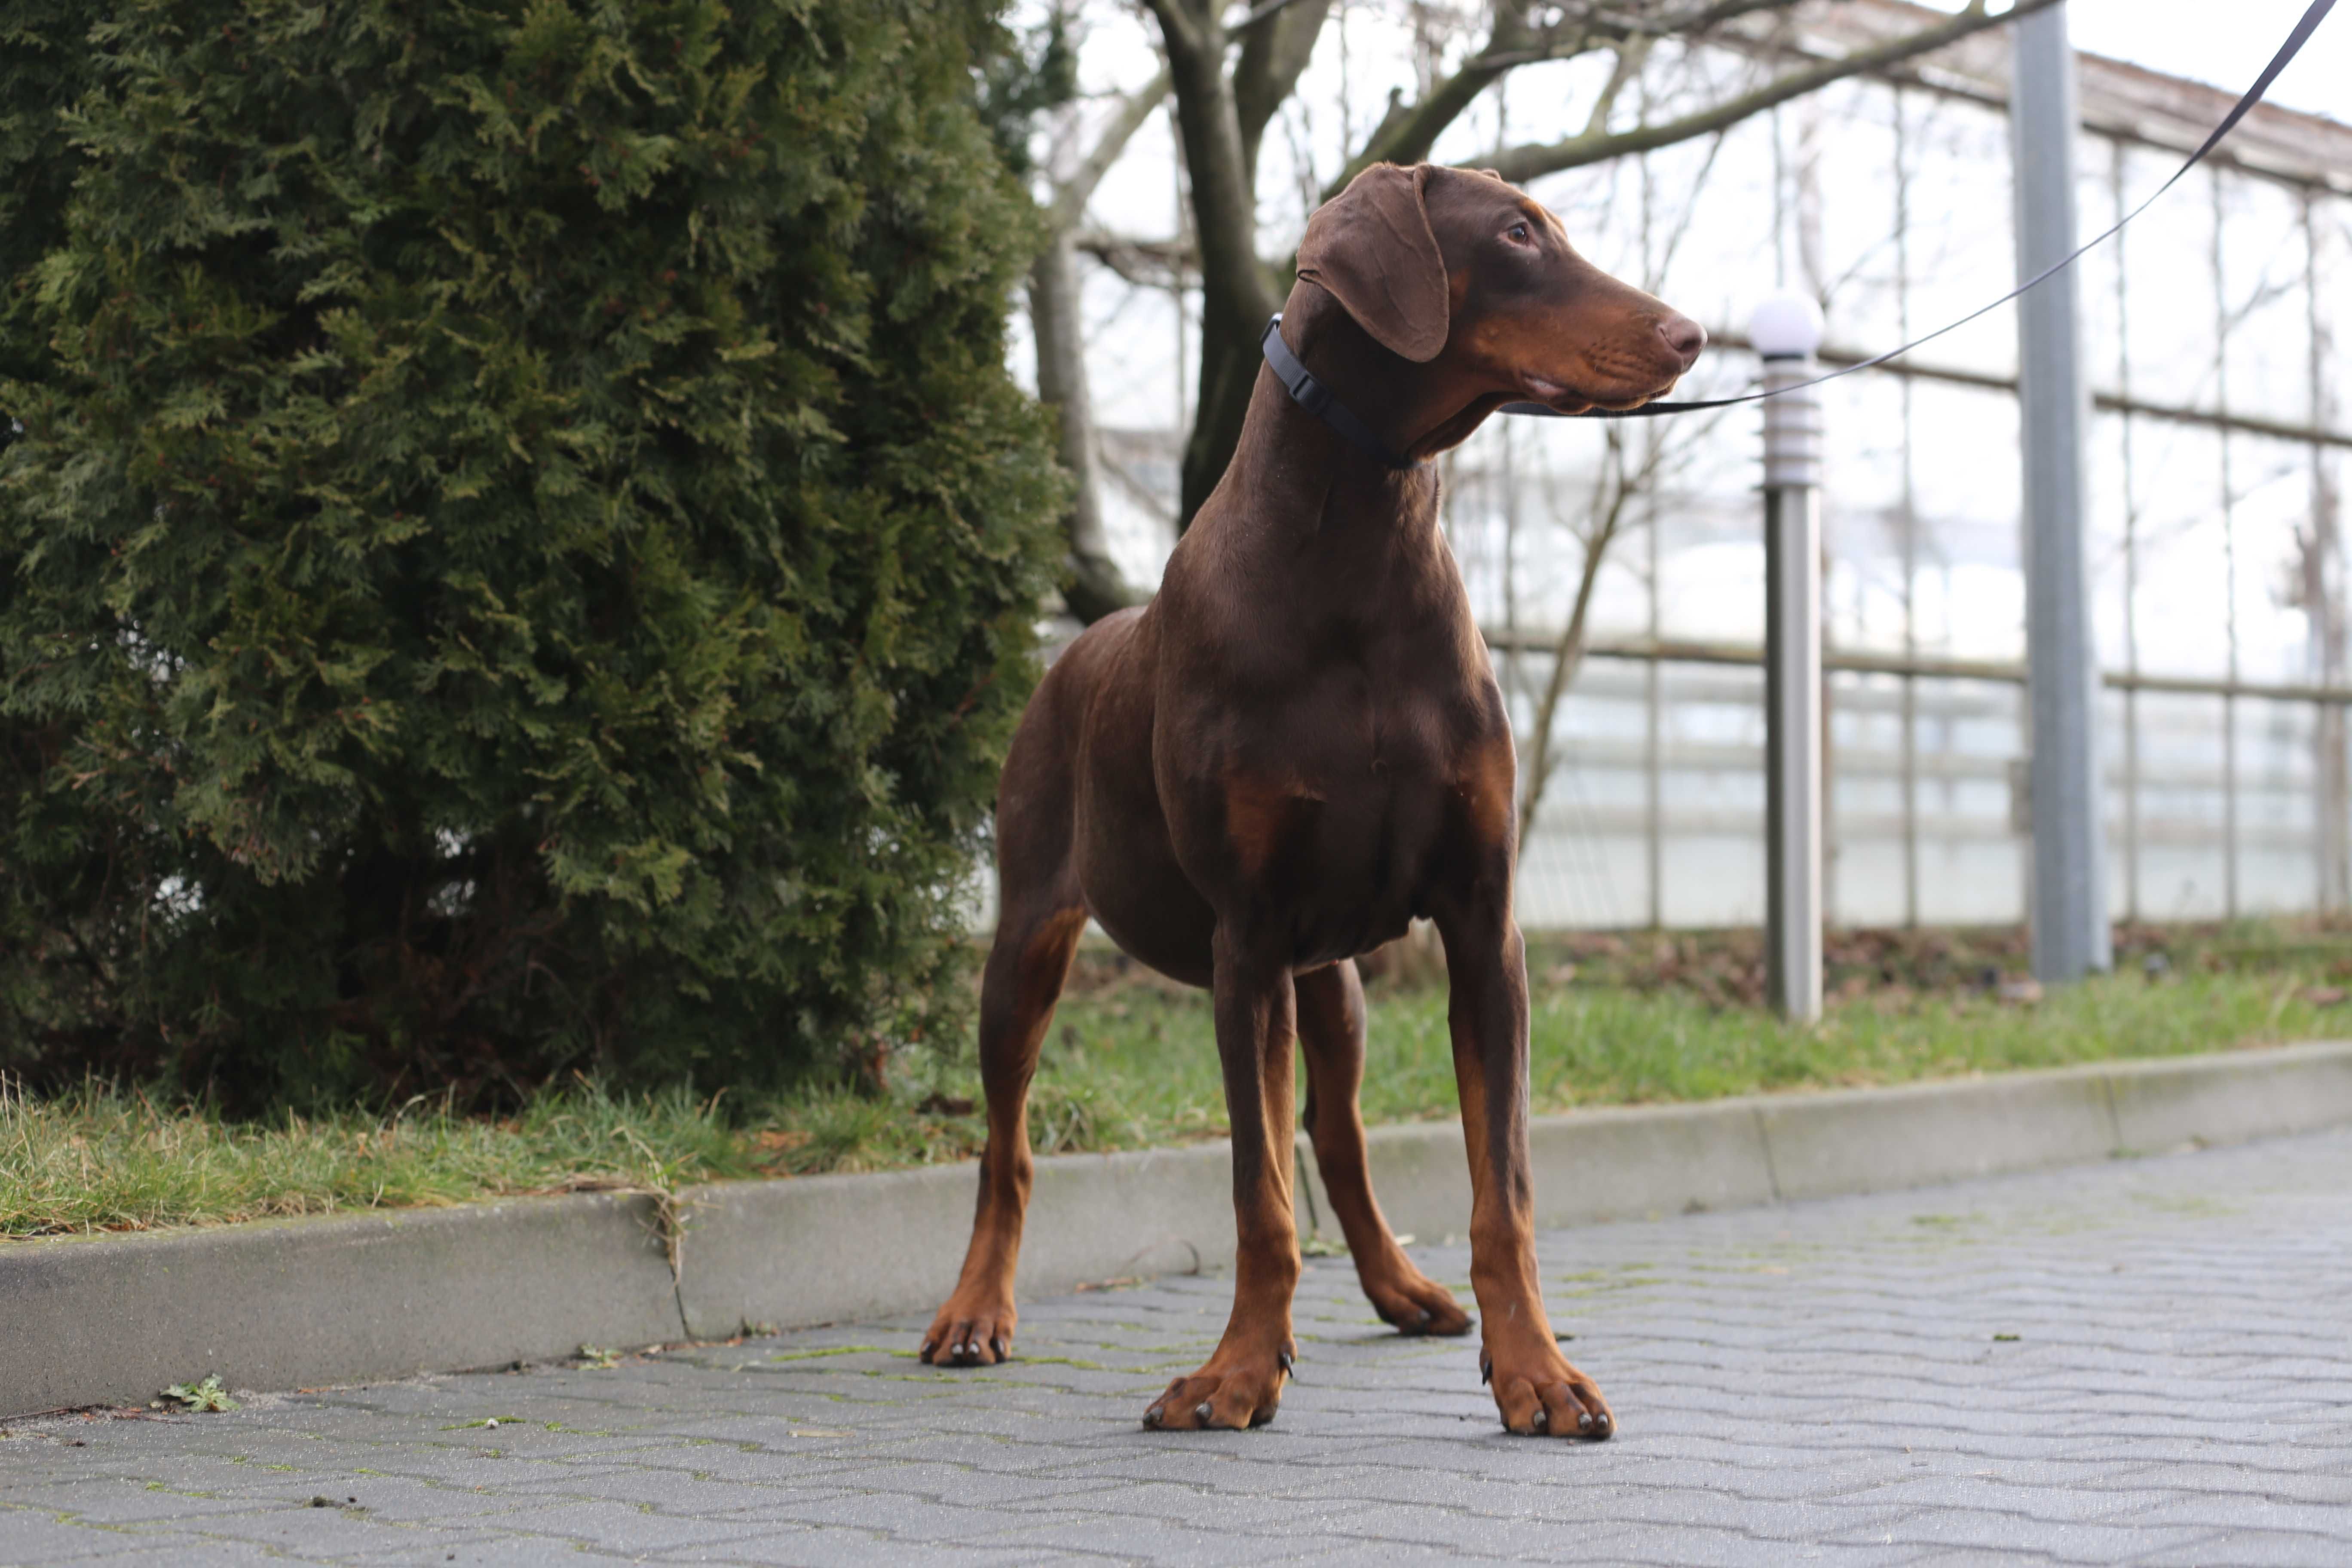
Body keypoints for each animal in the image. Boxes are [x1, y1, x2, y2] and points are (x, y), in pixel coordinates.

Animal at [917, 159, 1712, 1439]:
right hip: (1033, 941)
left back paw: (1400, 1288)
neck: (1362, 541)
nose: (1687, 334)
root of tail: (1076, 646)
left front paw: (1535, 1373)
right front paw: (1238, 1373)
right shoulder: (1246, 940)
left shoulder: (1481, 923)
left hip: (1331, 982)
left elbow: (1501, 1188)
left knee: (1337, 1137)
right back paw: (974, 1312)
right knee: (1008, 1145)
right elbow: (1257, 1192)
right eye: (1515, 234)